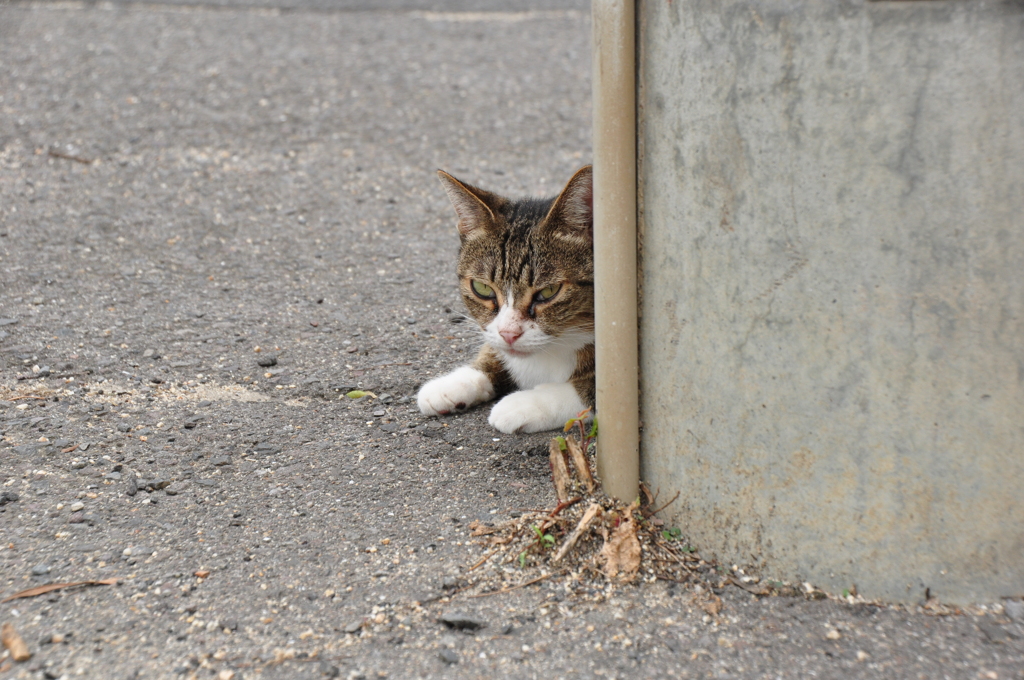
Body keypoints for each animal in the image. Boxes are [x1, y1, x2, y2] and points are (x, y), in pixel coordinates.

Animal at [417, 164, 598, 432]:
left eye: (548, 292)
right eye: (482, 288)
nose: (509, 334)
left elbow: (594, 389)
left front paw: (528, 403)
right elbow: (495, 351)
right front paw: (459, 382)